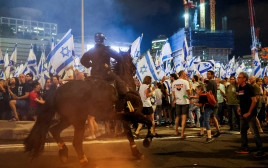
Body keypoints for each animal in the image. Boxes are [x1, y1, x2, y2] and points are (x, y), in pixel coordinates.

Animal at [24, 49, 154, 165]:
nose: (134, 68)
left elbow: (129, 134)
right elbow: (149, 122)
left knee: (54, 130)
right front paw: (147, 140)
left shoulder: (123, 116)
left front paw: (137, 153)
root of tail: (58, 91)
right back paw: (83, 160)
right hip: (79, 120)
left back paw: (64, 153)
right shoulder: (134, 114)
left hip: (68, 119)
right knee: (76, 142)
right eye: (131, 59)